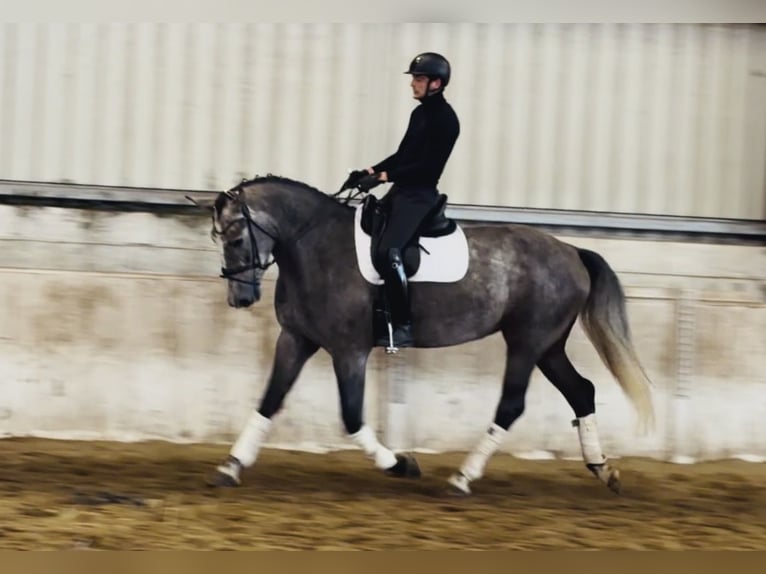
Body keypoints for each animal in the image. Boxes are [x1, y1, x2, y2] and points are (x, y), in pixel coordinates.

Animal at [188, 175, 654, 496]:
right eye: (219, 237)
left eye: (235, 237)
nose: (240, 299)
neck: (314, 246)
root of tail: (572, 251)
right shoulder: (296, 340)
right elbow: (269, 401)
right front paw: (231, 465)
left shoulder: (349, 350)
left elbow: (352, 417)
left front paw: (400, 464)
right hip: (548, 345)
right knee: (582, 390)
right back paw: (604, 469)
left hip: (527, 341)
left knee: (512, 404)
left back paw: (463, 478)